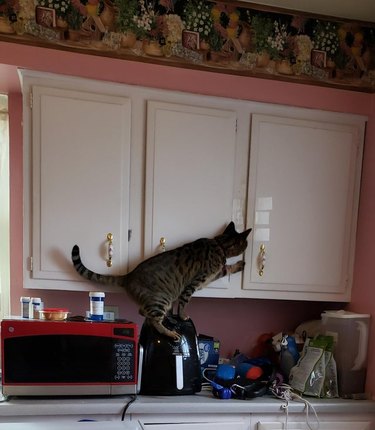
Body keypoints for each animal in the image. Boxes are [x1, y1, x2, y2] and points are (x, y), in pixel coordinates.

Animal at [71, 222, 251, 340]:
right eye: (247, 243)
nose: (248, 247)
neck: (220, 244)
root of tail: (128, 275)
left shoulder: (216, 273)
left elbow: (229, 268)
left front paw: (240, 265)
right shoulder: (194, 283)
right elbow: (184, 303)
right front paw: (183, 316)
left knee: (144, 312)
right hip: (161, 299)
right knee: (153, 319)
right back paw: (170, 332)